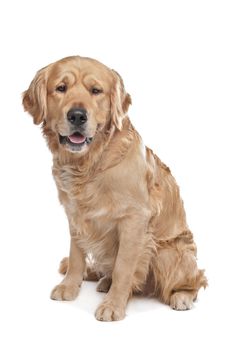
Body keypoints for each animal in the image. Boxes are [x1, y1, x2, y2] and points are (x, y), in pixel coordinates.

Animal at [22, 56, 208, 322]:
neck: (90, 165)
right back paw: (103, 281)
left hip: (170, 252)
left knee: (196, 280)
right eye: (61, 88)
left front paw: (114, 305)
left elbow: (124, 268)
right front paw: (69, 286)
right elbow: (76, 257)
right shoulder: (75, 214)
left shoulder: (134, 220)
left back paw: (181, 296)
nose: (77, 116)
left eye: (96, 91)